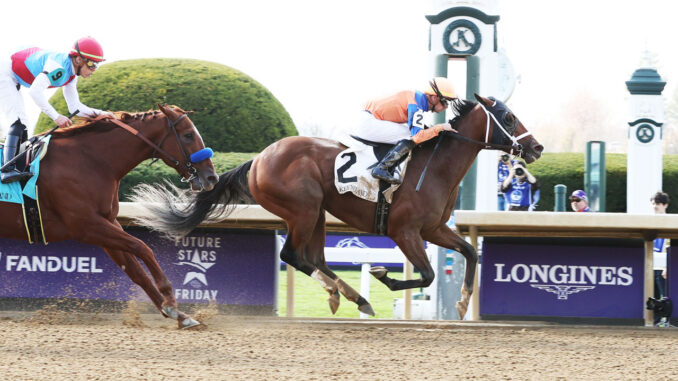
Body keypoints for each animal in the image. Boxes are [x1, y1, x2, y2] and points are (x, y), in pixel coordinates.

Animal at [0, 104, 218, 326]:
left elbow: (135, 270)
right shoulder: (86, 226)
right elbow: (143, 247)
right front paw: (170, 299)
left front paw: (179, 314)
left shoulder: (108, 223)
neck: (91, 161)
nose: (211, 177)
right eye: (188, 135)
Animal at [134, 95, 548, 318]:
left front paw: (462, 304)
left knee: (314, 257)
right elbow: (428, 275)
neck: (434, 166)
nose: (537, 147)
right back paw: (355, 296)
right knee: (293, 255)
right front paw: (382, 274)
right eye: (508, 117)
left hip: (317, 212)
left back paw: (346, 295)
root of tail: (260, 158)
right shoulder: (405, 231)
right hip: (302, 209)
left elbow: (470, 253)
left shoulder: (433, 228)